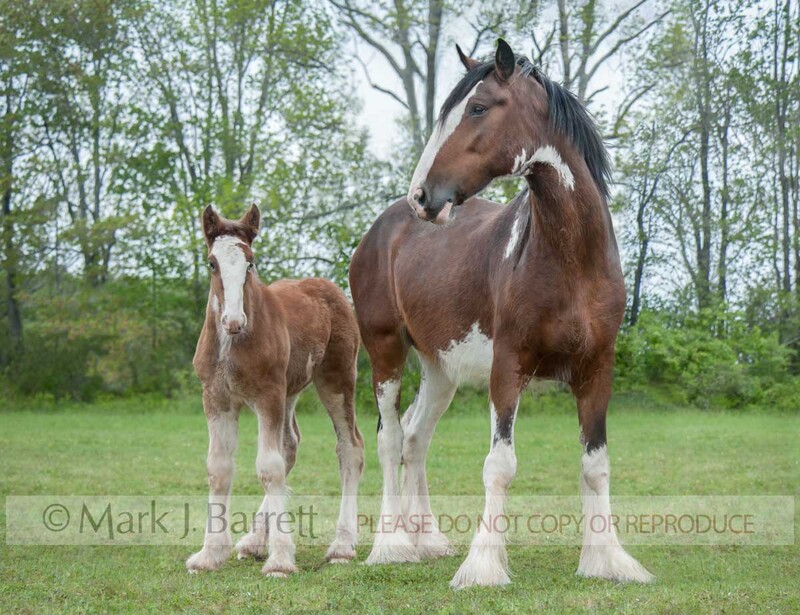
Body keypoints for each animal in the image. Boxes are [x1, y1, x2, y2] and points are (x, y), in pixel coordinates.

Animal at [187, 204, 364, 576]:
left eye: (250, 262)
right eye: (212, 263)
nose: (233, 321)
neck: (232, 343)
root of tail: (331, 288)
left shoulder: (267, 394)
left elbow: (268, 467)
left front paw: (280, 560)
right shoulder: (217, 398)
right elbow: (219, 468)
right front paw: (210, 554)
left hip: (336, 381)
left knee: (350, 447)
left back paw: (342, 545)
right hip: (290, 390)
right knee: (290, 446)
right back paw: (253, 542)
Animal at [349, 39, 653, 589]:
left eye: (478, 107)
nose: (422, 196)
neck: (570, 258)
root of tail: (384, 227)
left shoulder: (598, 368)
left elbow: (595, 465)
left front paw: (607, 560)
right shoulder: (507, 367)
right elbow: (500, 465)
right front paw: (484, 565)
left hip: (440, 367)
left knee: (415, 438)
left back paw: (427, 540)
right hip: (384, 350)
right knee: (389, 438)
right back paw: (392, 545)